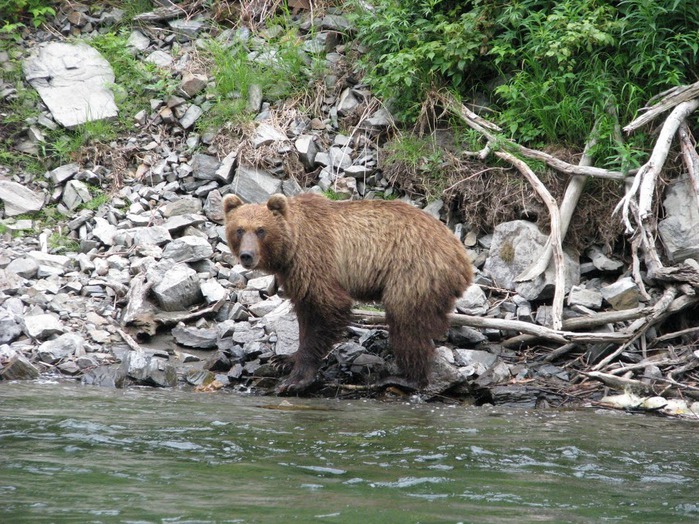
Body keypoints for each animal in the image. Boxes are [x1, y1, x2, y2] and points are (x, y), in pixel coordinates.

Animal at [226, 192, 476, 392]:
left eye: (261, 230)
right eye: (239, 230)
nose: (247, 255)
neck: (291, 248)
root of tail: (462, 256)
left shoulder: (315, 259)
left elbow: (328, 310)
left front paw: (295, 379)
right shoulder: (294, 275)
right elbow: (305, 315)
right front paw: (284, 358)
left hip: (414, 271)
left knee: (406, 321)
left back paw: (404, 378)